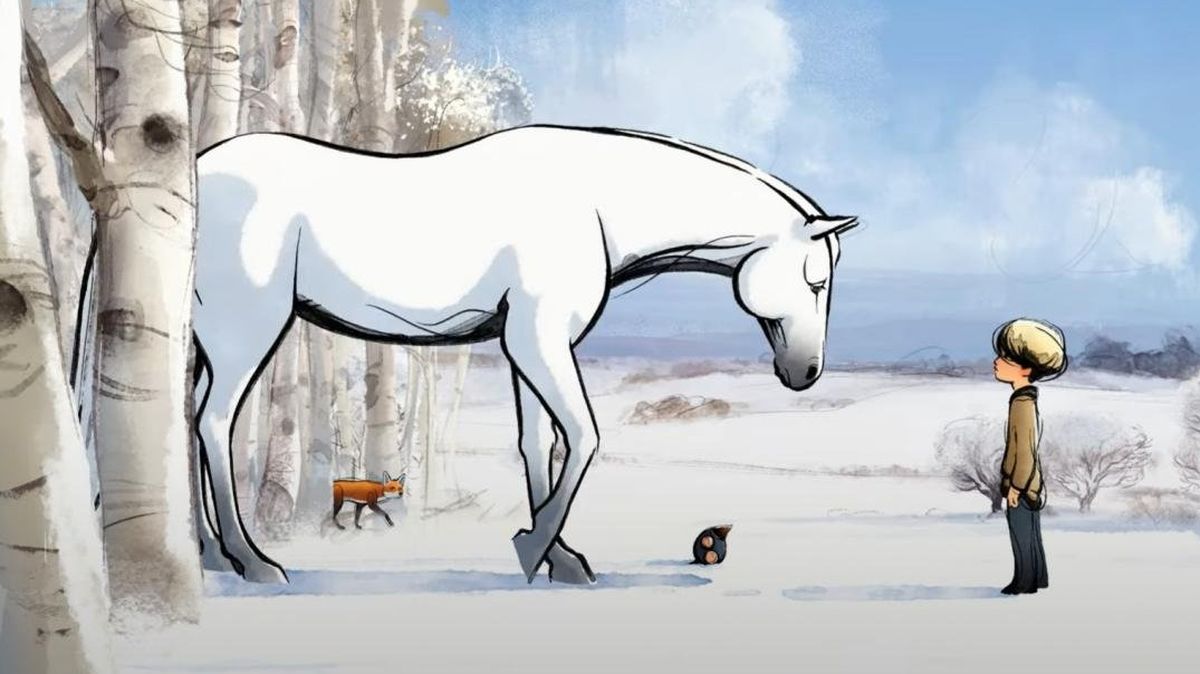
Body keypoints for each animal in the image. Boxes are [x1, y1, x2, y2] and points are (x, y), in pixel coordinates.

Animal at [190, 124, 858, 584]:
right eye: (817, 282)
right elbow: (583, 436)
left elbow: (539, 444)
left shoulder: (526, 349)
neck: (595, 205)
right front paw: (534, 548)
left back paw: (210, 555)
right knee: (215, 424)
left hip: (208, 344)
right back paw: (253, 562)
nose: (805, 374)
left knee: (191, 421)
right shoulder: (539, 343)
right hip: (245, 334)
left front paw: (556, 557)